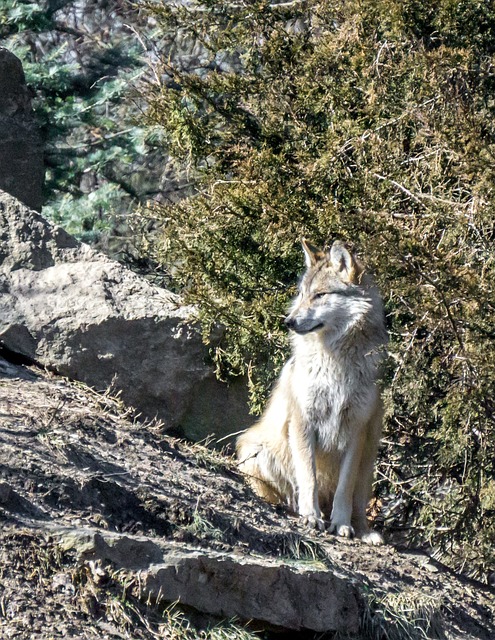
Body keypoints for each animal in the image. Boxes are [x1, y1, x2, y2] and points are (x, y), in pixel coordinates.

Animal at [236, 240, 388, 544]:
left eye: (320, 295)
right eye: (302, 294)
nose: (288, 321)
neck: (336, 362)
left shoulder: (356, 430)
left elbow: (344, 489)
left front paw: (340, 524)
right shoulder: (303, 423)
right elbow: (308, 478)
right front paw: (310, 516)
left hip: (368, 463)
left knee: (358, 505)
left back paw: (365, 532)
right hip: (255, 450)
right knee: (283, 493)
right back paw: (291, 508)